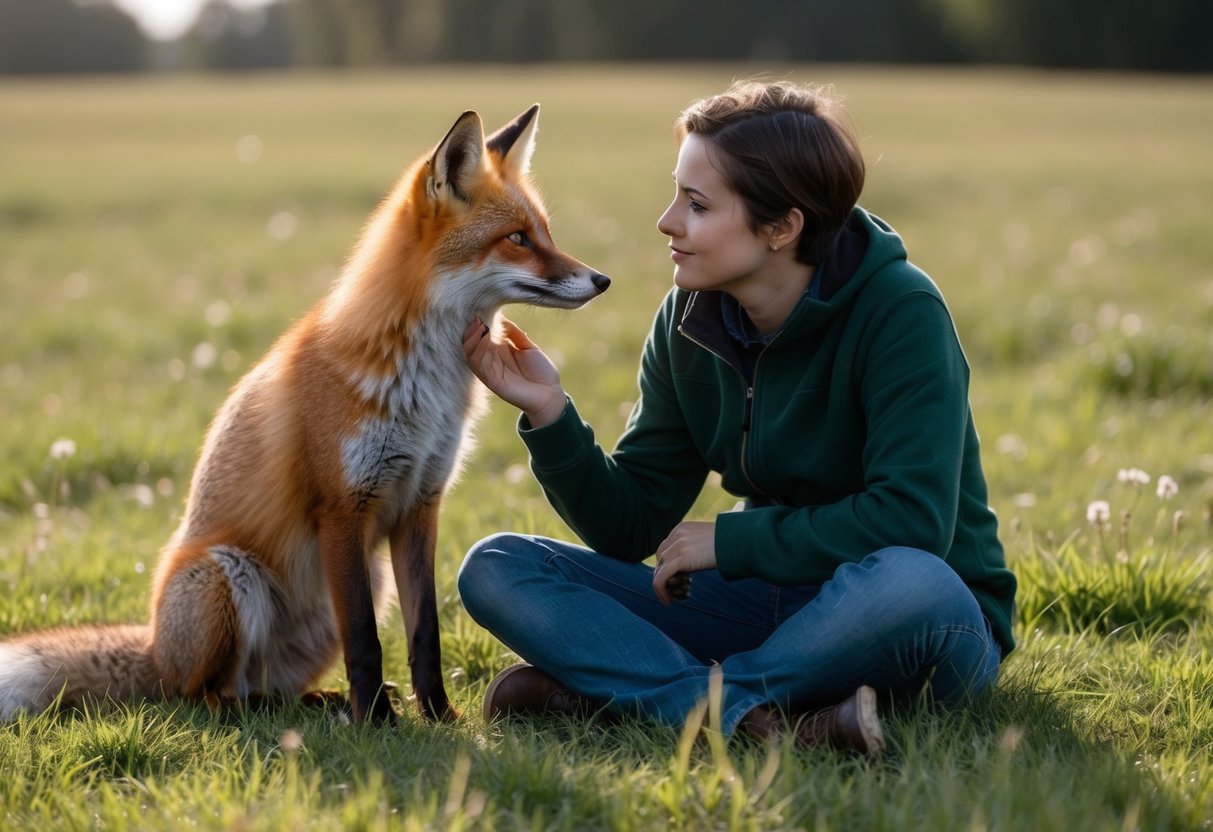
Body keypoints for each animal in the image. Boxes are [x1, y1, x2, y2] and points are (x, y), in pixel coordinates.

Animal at [0, 105, 608, 725]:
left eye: (546, 234)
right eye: (518, 239)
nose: (602, 280)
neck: (425, 386)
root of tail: (154, 649)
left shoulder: (420, 505)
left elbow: (425, 636)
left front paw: (438, 716)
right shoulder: (341, 508)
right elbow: (365, 640)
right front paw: (376, 723)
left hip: (360, 585)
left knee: (268, 684)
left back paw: (314, 702)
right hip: (230, 576)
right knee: (203, 697)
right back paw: (271, 710)